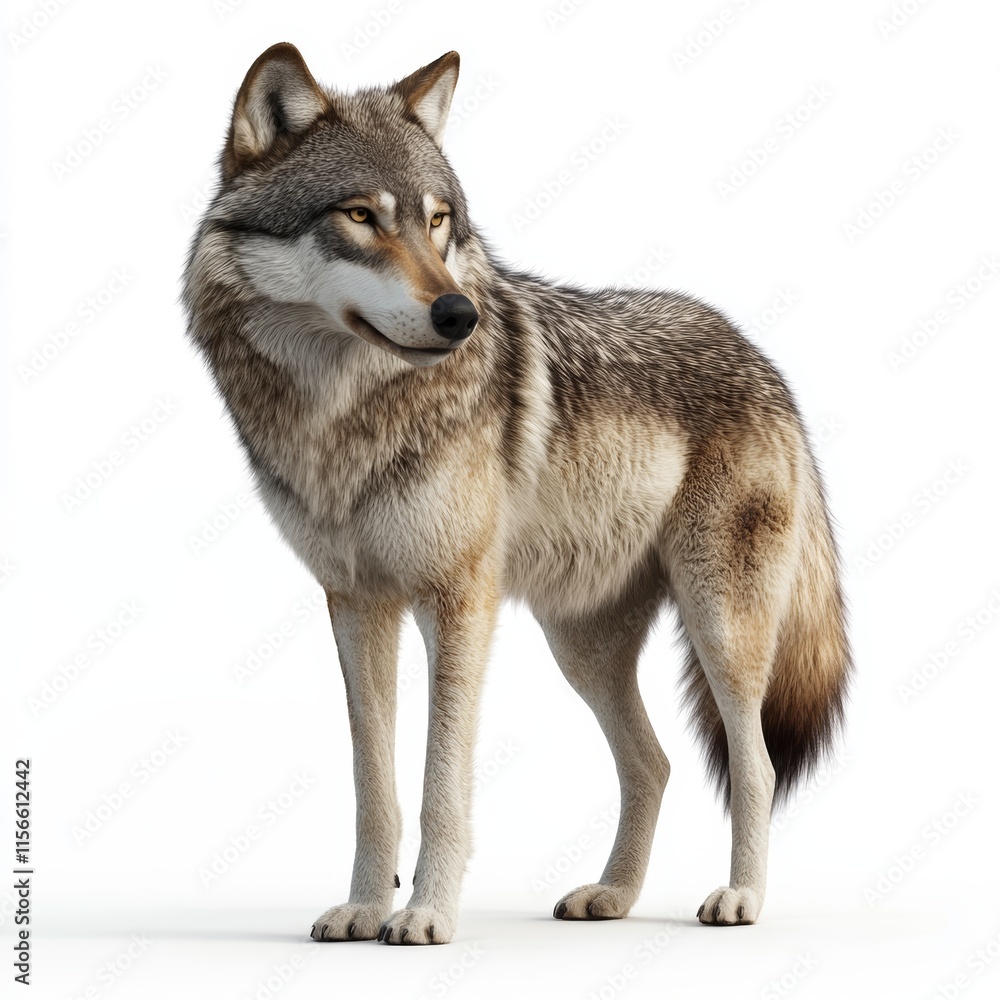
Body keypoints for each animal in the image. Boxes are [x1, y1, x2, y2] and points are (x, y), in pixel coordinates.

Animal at [182, 43, 851, 945]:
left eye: (438, 221)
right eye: (359, 217)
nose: (458, 314)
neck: (343, 419)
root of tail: (762, 357)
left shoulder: (457, 601)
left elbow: (440, 783)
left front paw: (426, 913)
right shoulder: (356, 603)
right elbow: (373, 786)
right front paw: (365, 908)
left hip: (721, 626)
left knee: (756, 765)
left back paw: (739, 899)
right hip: (581, 647)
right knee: (654, 762)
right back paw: (611, 896)